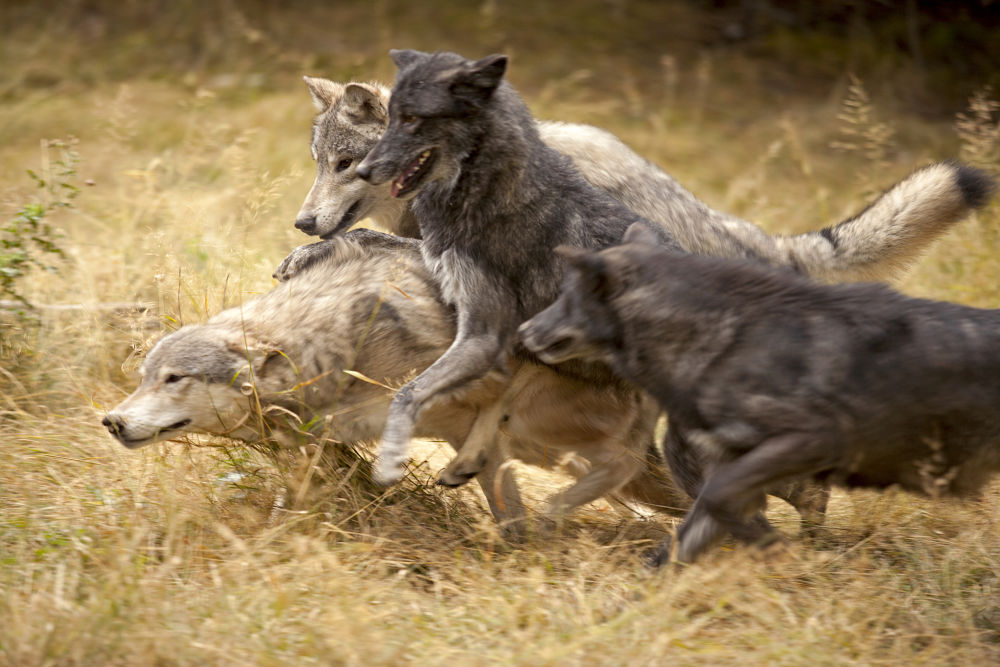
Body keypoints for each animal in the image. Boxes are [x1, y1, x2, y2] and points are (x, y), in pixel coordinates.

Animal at [103, 230, 696, 528]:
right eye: (144, 378)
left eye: (174, 379)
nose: (111, 421)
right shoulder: (328, 445)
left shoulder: (461, 408)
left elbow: (502, 492)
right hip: (544, 445)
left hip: (542, 423)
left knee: (620, 464)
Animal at [352, 48, 992, 486]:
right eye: (391, 118)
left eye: (413, 122)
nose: (362, 171)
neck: (485, 187)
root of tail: (741, 243)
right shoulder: (489, 331)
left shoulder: (482, 334)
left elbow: (406, 396)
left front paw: (390, 461)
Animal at [520, 223, 1000, 564]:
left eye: (566, 296)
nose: (523, 332)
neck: (724, 338)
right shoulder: (728, 466)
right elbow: (679, 544)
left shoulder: (812, 441)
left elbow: (721, 502)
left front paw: (784, 552)